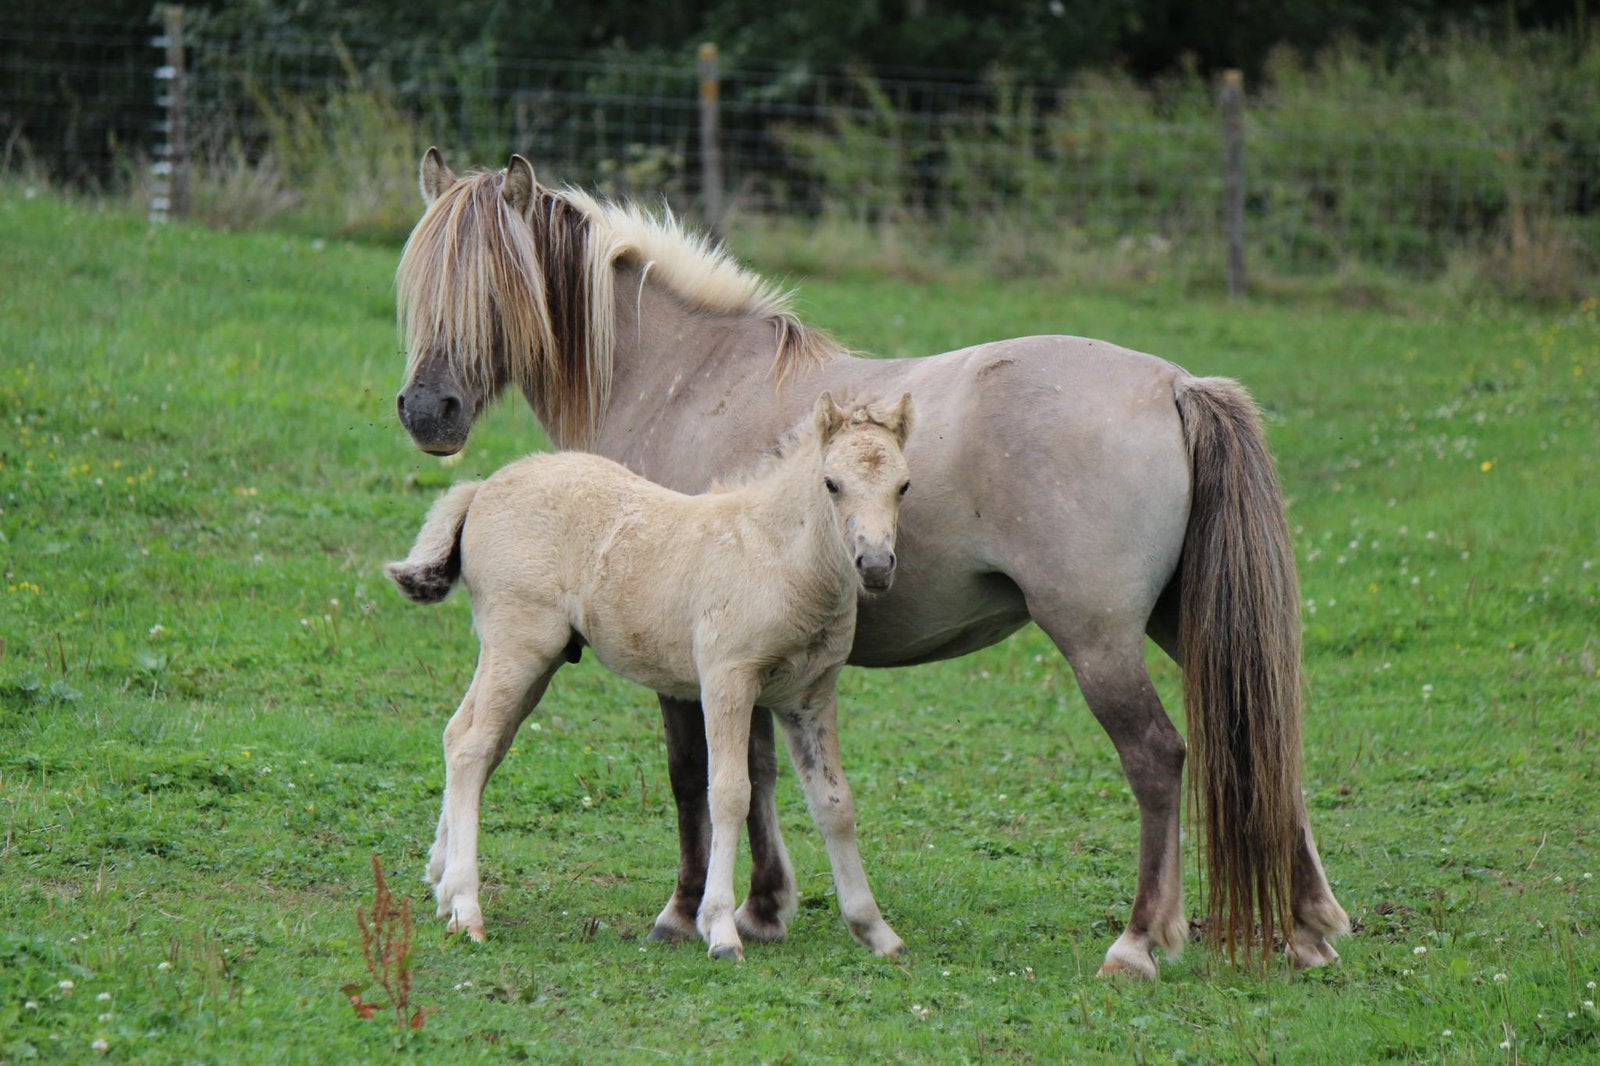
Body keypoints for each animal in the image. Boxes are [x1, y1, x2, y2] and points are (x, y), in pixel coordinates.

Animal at [387, 391, 916, 961]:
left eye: (903, 485)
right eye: (831, 483)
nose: (875, 564)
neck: (775, 555)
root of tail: (482, 488)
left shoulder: (810, 696)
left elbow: (835, 803)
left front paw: (875, 930)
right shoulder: (727, 680)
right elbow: (730, 792)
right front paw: (721, 931)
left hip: (536, 660)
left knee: (469, 737)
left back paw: (442, 883)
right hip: (517, 645)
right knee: (472, 746)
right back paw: (466, 908)